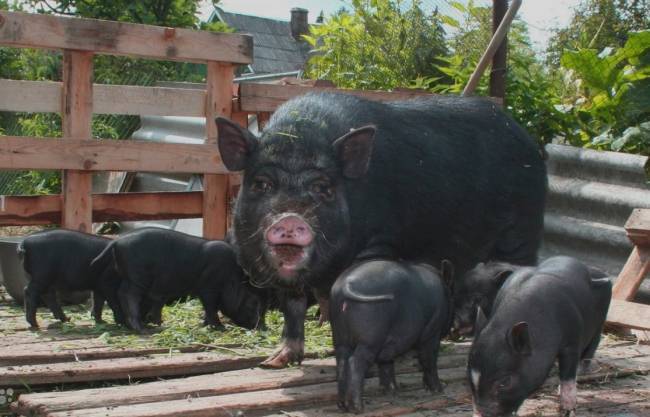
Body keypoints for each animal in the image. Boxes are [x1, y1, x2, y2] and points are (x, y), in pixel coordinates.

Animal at [90, 228, 264, 332]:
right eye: (251, 303)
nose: (263, 327)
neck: (230, 279)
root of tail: (117, 240)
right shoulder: (209, 286)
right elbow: (211, 307)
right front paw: (220, 328)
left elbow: (207, 308)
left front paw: (205, 324)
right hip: (137, 275)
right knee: (127, 294)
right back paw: (142, 328)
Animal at [215, 92, 544, 368]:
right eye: (261, 184)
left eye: (323, 188)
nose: (289, 218)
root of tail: (530, 143)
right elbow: (293, 310)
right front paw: (275, 361)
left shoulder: (377, 245)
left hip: (521, 234)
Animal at [330, 258, 450, 412]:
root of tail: (346, 285)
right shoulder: (432, 332)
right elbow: (428, 359)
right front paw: (439, 390)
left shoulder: (389, 345)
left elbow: (386, 364)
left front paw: (391, 391)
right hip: (370, 339)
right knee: (355, 362)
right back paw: (358, 408)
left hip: (340, 337)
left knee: (341, 362)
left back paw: (342, 406)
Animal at [466, 255, 608, 414]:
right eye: (469, 377)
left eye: (505, 382)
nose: (479, 414)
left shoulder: (572, 341)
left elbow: (568, 375)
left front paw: (568, 408)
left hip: (600, 320)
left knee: (593, 343)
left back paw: (582, 370)